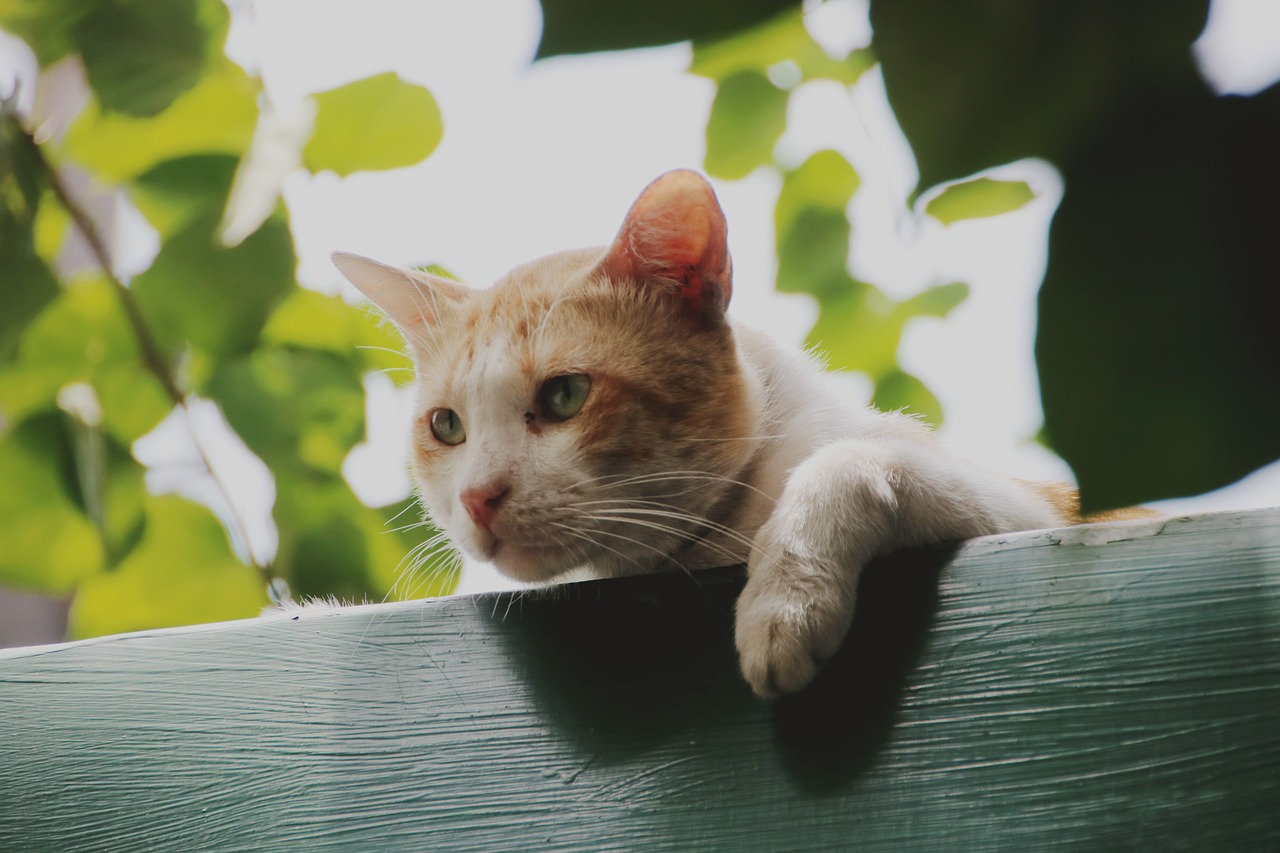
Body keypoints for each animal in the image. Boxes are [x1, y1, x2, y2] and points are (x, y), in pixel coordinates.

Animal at [330, 169, 1152, 696]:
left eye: (564, 396)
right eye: (446, 426)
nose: (477, 498)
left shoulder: (1038, 511)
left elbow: (848, 463)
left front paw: (783, 603)